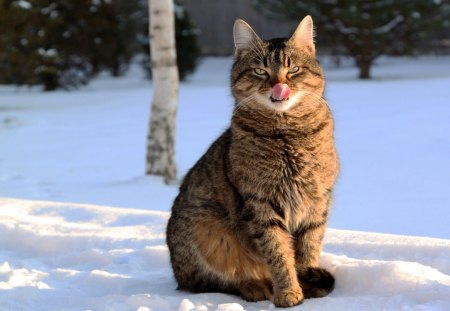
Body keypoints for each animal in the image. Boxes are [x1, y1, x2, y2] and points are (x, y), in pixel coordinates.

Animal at [167, 15, 340, 308]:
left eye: (293, 69)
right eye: (260, 71)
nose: (278, 85)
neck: (288, 134)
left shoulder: (317, 201)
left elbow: (308, 247)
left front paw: (307, 281)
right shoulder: (260, 203)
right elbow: (278, 252)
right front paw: (288, 291)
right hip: (205, 227)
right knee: (213, 281)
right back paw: (254, 286)